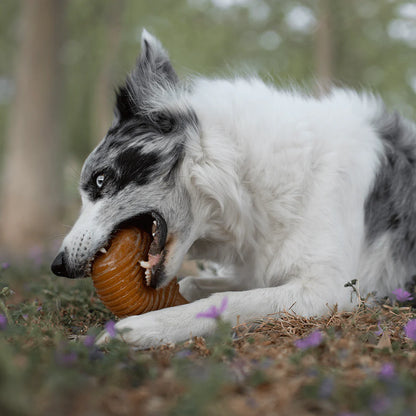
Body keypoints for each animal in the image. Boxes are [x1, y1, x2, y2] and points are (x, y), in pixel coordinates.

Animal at [51, 30, 416, 348]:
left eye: (100, 180)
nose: (58, 265)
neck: (248, 176)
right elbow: (193, 282)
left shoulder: (330, 288)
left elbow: (226, 300)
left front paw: (139, 328)